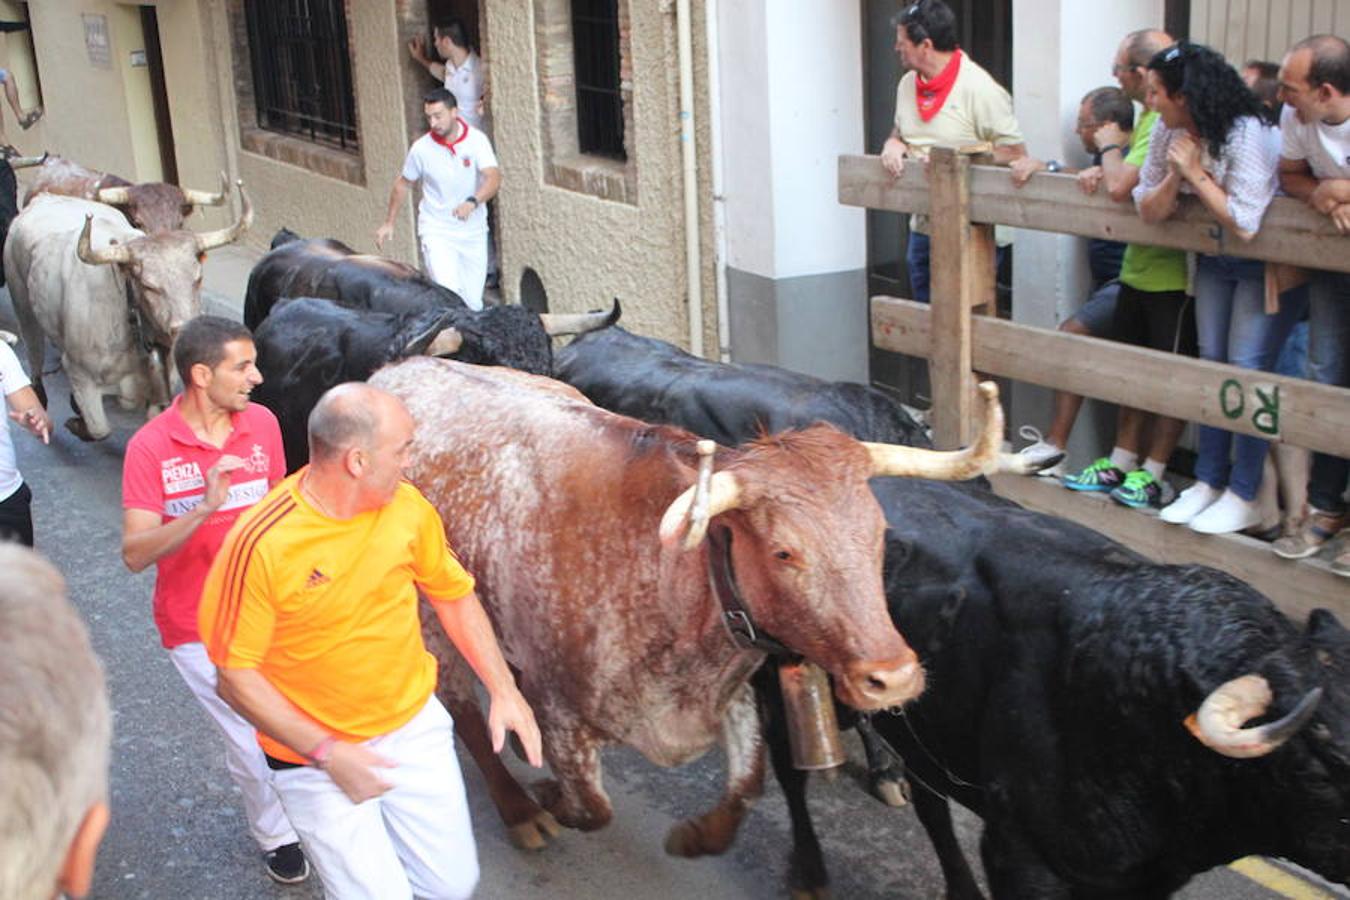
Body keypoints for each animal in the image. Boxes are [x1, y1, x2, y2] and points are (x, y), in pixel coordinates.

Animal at [2, 186, 252, 439]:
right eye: (149, 286)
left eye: (198, 278)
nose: (186, 330)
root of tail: (44, 199)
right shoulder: (80, 373)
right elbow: (99, 429)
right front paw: (78, 423)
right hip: (22, 302)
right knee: (34, 355)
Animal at [364, 356, 1015, 858]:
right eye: (784, 551)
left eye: (878, 533)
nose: (895, 677)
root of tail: (397, 372)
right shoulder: (566, 716)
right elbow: (590, 806)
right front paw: (546, 797)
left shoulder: (733, 695)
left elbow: (746, 786)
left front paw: (696, 837)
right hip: (433, 627)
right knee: (466, 716)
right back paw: (518, 811)